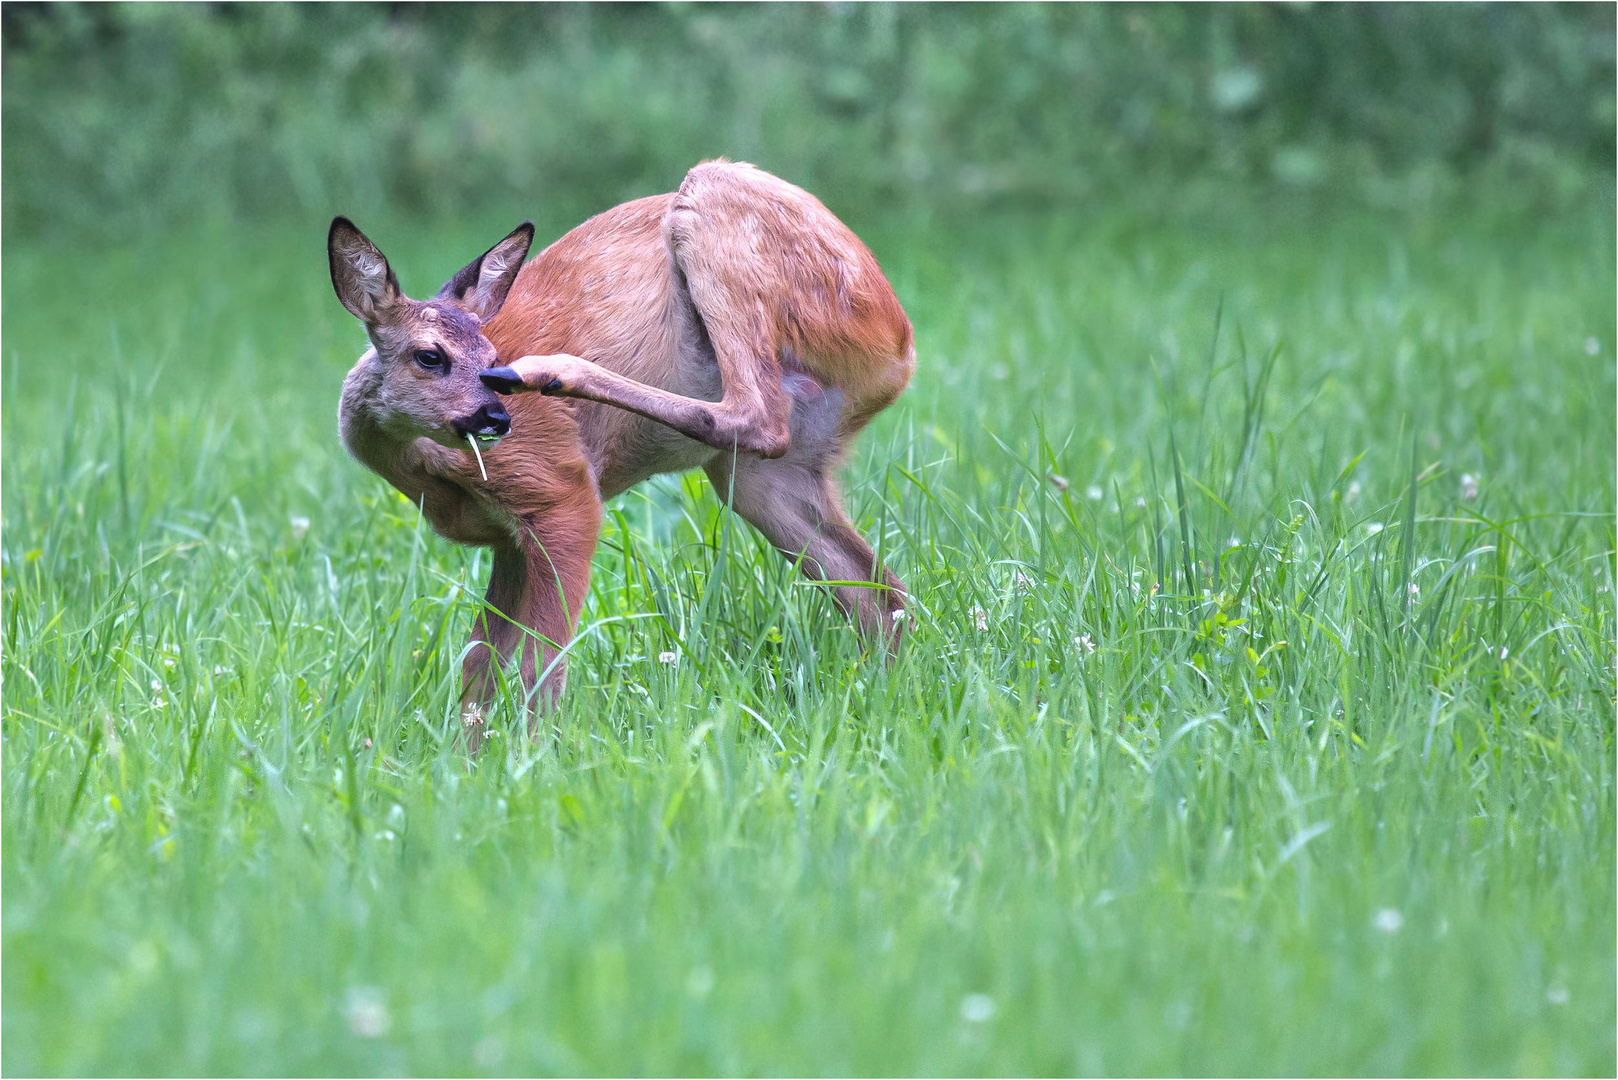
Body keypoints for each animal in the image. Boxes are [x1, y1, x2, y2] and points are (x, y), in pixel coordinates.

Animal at [331, 160, 912, 751]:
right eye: (429, 356)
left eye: (488, 352)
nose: (496, 416)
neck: (437, 478)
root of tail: (899, 342)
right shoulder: (506, 539)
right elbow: (478, 666)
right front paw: (463, 760)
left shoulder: (560, 493)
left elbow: (540, 662)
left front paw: (530, 757)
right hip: (763, 477)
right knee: (881, 597)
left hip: (716, 208)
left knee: (759, 415)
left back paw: (548, 371)